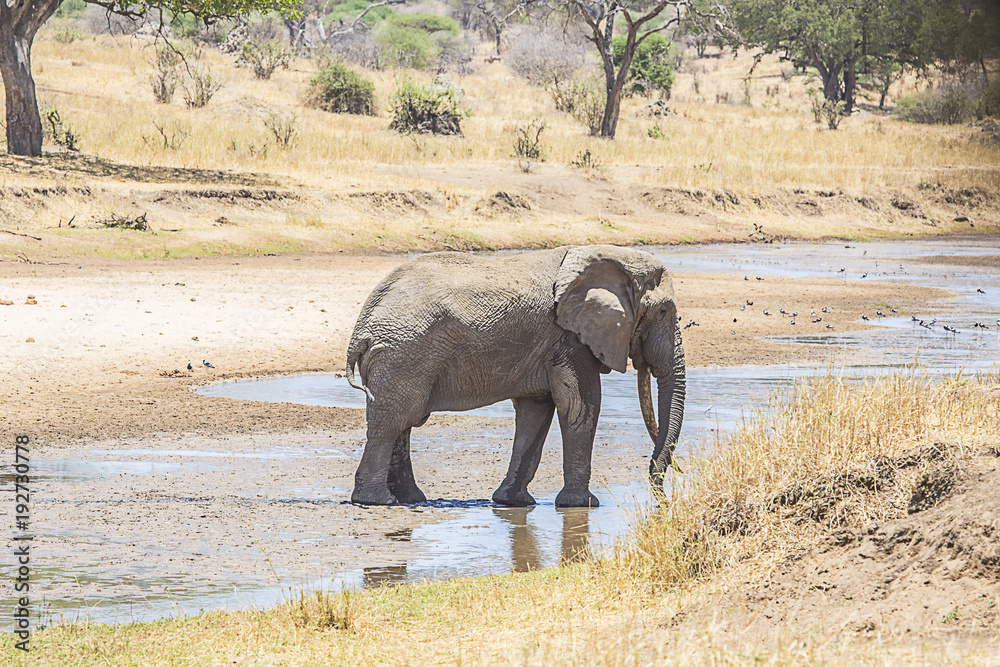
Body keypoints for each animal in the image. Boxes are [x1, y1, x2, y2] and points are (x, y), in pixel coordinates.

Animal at [345, 245, 686, 507]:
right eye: (664, 311)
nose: (659, 494)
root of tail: (361, 327)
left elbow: (535, 411)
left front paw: (513, 502)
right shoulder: (568, 337)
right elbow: (579, 404)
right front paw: (583, 505)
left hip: (400, 358)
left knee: (401, 421)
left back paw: (411, 499)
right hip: (403, 355)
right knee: (393, 420)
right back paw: (378, 501)